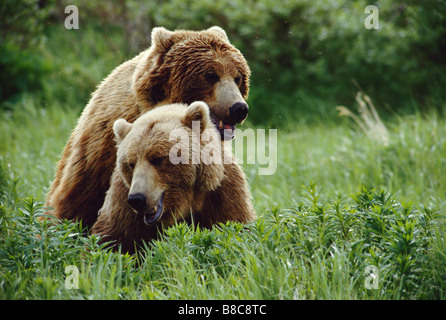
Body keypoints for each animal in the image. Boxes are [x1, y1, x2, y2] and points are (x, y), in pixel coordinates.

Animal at [90, 101, 254, 254]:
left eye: (157, 158)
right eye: (130, 163)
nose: (137, 199)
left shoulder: (223, 192)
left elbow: (235, 223)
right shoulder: (123, 202)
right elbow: (111, 236)